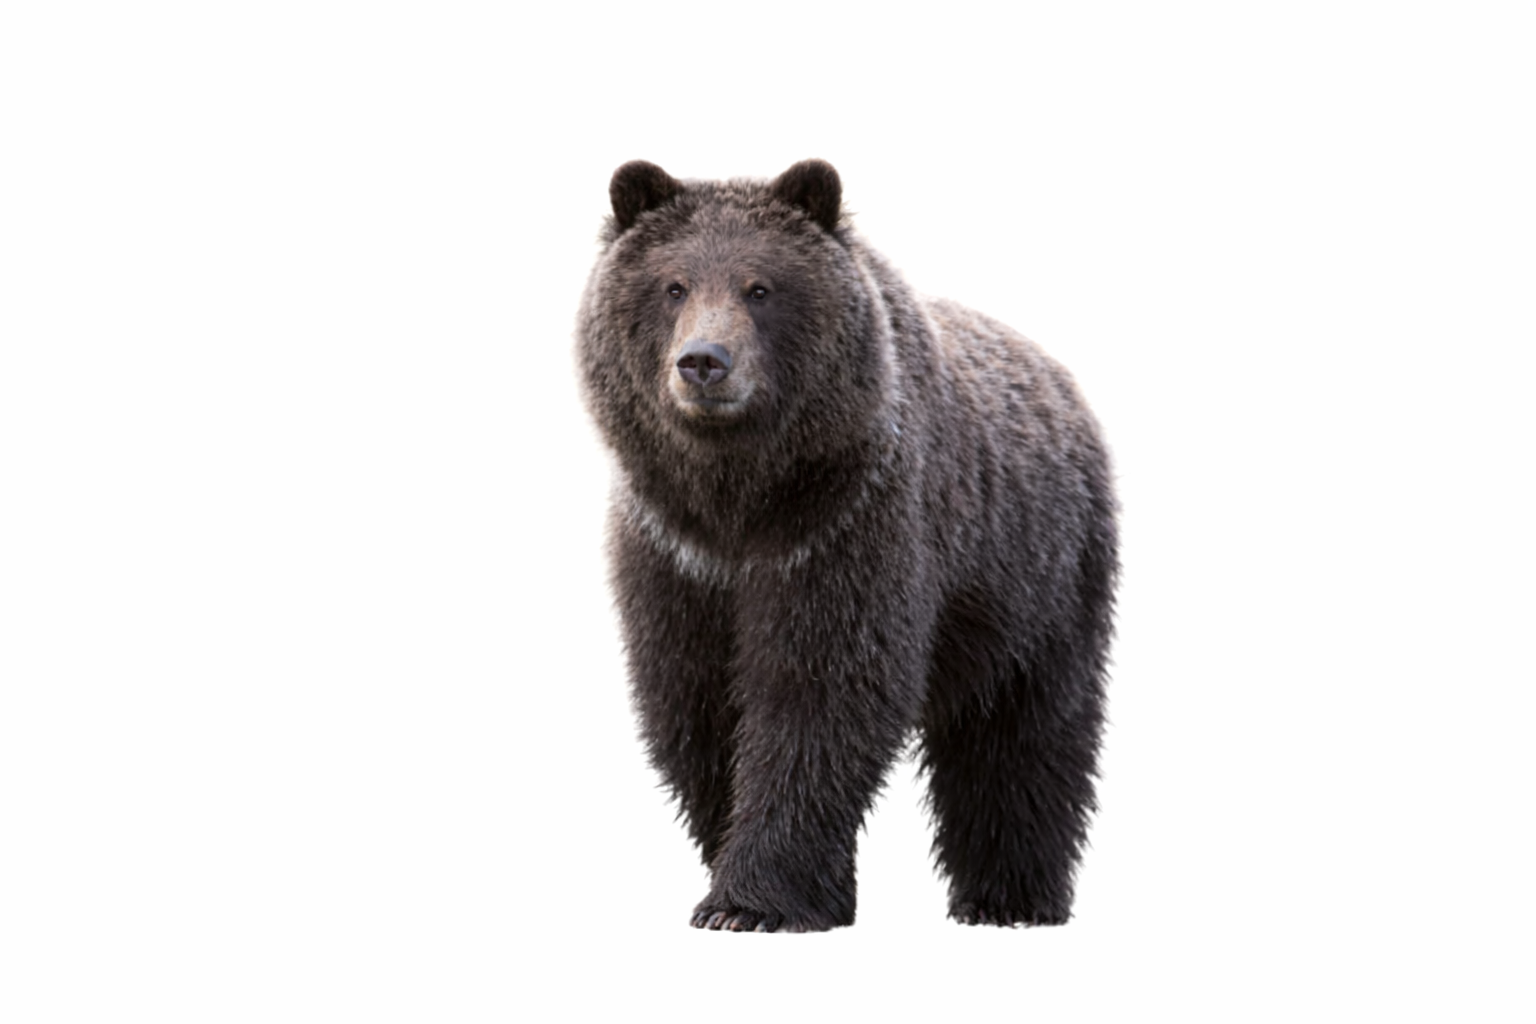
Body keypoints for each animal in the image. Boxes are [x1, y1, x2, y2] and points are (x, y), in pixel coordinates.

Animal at [576, 159, 1118, 932]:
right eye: (673, 284)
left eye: (761, 287)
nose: (703, 361)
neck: (740, 500)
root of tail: (1060, 378)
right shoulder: (674, 556)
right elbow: (697, 705)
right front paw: (803, 890)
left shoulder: (848, 527)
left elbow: (821, 695)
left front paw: (751, 902)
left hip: (1040, 578)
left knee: (1024, 736)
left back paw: (1009, 898)